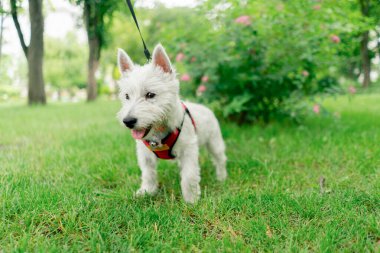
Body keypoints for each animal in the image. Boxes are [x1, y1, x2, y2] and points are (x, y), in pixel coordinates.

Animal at [117, 42, 227, 203]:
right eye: (126, 96)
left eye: (150, 94)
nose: (128, 121)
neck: (159, 132)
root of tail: (205, 107)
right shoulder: (145, 154)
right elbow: (148, 174)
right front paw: (146, 192)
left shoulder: (188, 149)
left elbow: (189, 176)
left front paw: (191, 200)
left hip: (214, 141)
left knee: (220, 158)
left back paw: (221, 177)